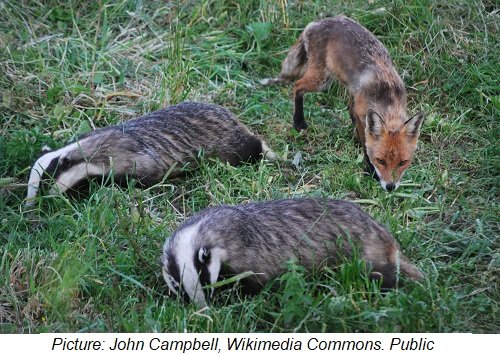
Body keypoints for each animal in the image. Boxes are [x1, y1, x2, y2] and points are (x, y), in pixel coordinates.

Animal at [262, 16, 426, 192]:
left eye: (403, 162)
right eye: (380, 161)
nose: (390, 187)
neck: (388, 97)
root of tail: (316, 22)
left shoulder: (360, 105)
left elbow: (356, 121)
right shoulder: (362, 113)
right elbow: (366, 142)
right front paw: (371, 171)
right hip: (322, 80)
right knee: (297, 86)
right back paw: (299, 122)